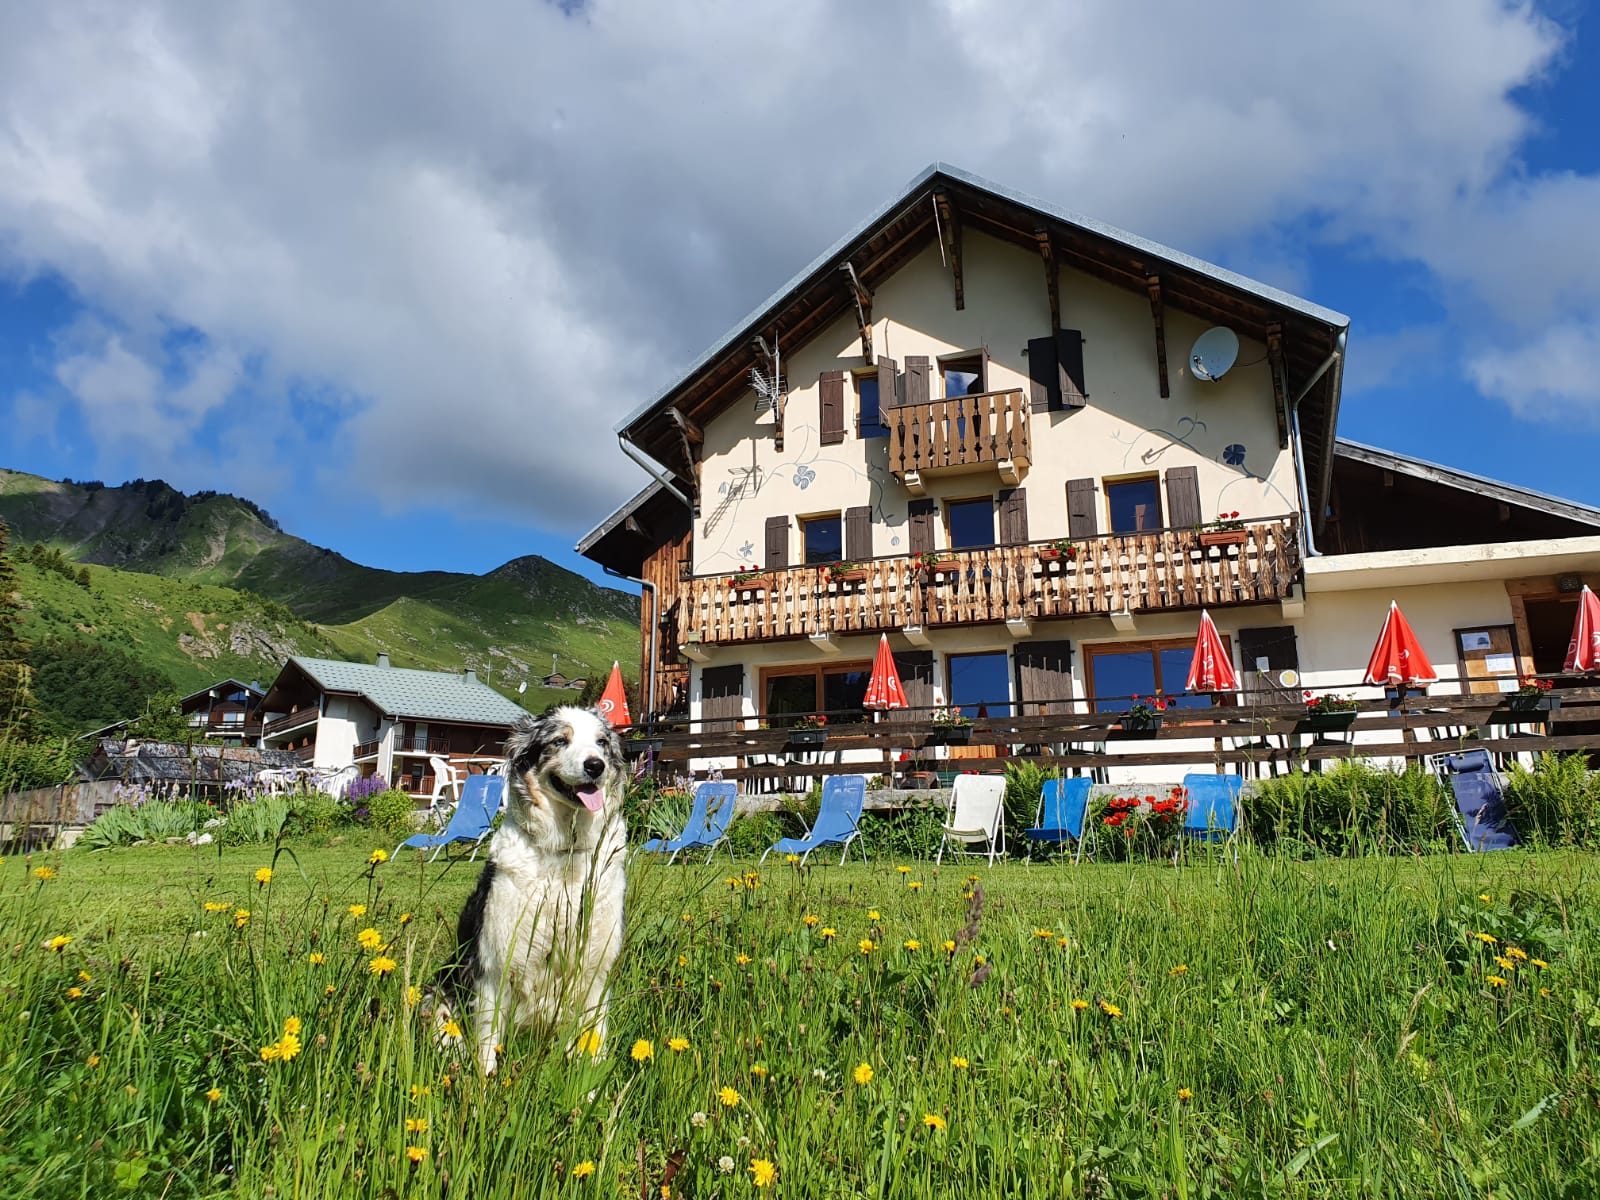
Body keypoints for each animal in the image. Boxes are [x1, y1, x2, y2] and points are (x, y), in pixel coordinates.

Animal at [444, 710, 630, 1075]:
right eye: (559, 741)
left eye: (602, 742)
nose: (595, 765)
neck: (564, 852)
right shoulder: (494, 965)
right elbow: (487, 1042)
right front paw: (484, 1084)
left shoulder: (595, 967)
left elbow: (594, 1038)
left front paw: (591, 1082)